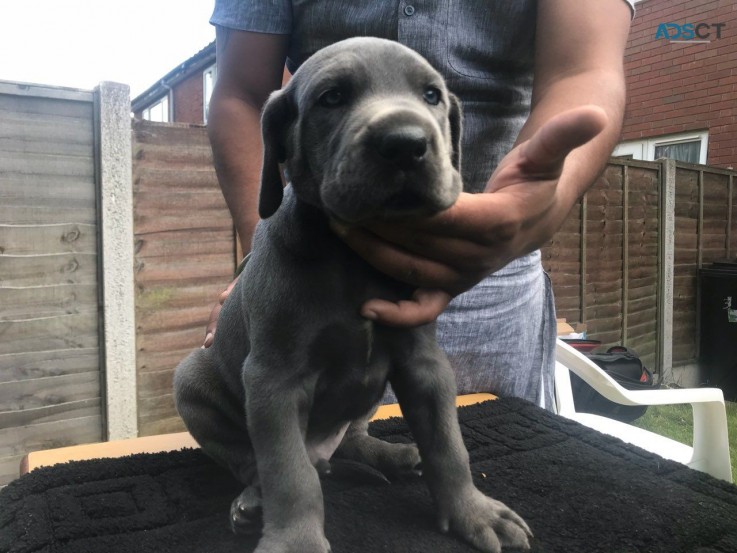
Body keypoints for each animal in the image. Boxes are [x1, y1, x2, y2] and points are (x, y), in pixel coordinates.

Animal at [172, 36, 528, 548]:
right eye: (332, 98)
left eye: (432, 96)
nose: (405, 144)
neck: (352, 259)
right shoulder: (273, 380)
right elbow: (288, 472)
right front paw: (296, 542)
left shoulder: (423, 363)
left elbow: (448, 443)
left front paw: (473, 512)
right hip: (191, 381)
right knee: (254, 461)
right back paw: (253, 502)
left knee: (353, 438)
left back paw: (393, 455)